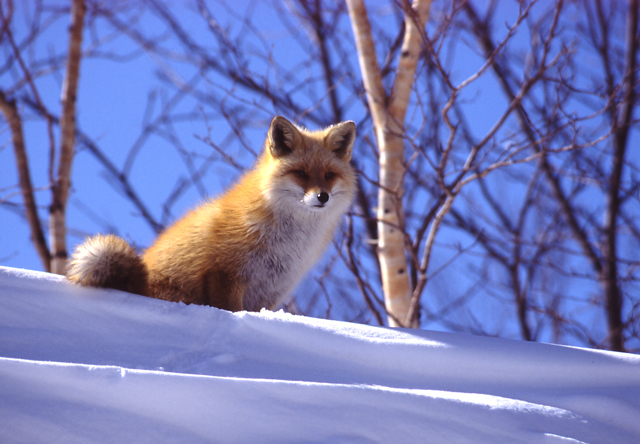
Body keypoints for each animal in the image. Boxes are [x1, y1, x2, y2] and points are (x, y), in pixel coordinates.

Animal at [67, 117, 358, 312]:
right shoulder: (225, 274)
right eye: (301, 173)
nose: (322, 196)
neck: (290, 242)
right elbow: (229, 310)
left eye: (329, 175)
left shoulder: (270, 292)